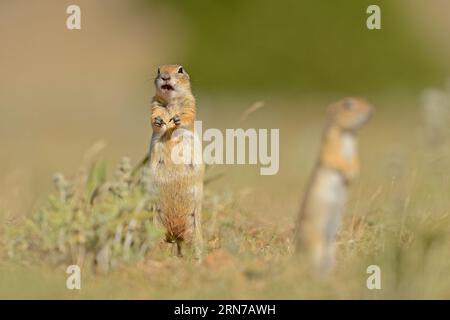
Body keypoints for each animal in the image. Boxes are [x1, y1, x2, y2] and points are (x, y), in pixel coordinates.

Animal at [148, 64, 204, 258]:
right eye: (158, 70)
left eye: (180, 70)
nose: (165, 77)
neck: (171, 102)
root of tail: (174, 234)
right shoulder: (154, 104)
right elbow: (153, 117)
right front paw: (159, 120)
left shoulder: (191, 103)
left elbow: (188, 115)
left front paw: (177, 120)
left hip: (194, 230)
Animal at [294, 97, 370, 272]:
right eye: (348, 104)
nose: (372, 110)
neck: (348, 135)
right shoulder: (330, 145)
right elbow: (334, 159)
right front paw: (349, 173)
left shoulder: (354, 151)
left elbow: (355, 160)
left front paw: (353, 173)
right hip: (315, 240)